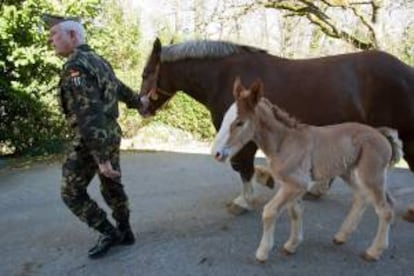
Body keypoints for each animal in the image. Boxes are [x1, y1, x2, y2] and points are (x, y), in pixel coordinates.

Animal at [137, 37, 414, 217]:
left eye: (146, 73)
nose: (141, 106)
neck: (224, 77)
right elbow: (247, 168)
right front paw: (265, 180)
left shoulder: (243, 137)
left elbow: (242, 167)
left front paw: (244, 201)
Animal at [215, 77, 402, 264]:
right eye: (225, 118)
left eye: (239, 122)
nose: (217, 153)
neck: (284, 142)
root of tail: (381, 133)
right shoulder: (290, 186)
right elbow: (295, 212)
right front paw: (291, 245)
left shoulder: (297, 184)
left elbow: (269, 212)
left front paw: (262, 252)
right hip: (348, 173)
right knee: (362, 198)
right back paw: (341, 236)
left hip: (371, 176)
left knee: (385, 210)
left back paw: (373, 251)